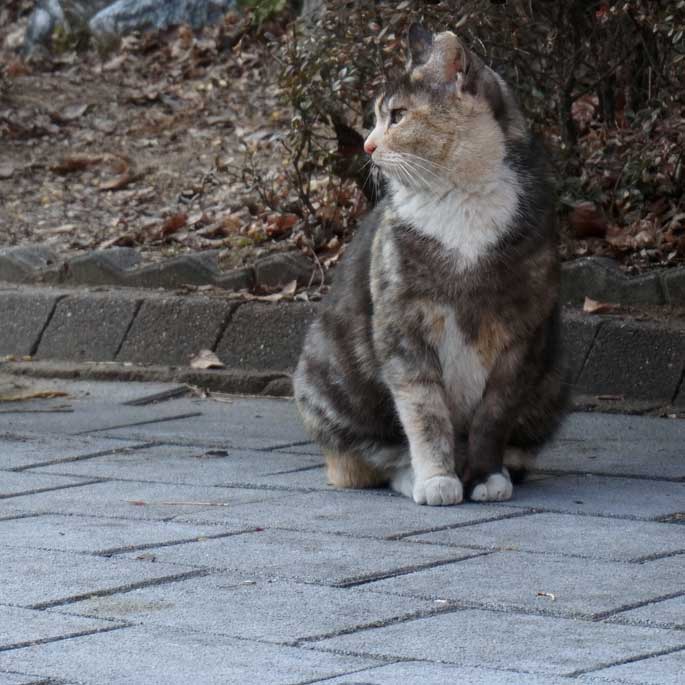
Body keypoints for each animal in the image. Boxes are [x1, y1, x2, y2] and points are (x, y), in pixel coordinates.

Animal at [294, 24, 568, 504]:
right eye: (377, 116)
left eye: (398, 115)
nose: (367, 143)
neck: (463, 201)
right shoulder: (404, 328)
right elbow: (424, 412)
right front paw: (439, 479)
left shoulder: (522, 337)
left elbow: (493, 417)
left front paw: (486, 476)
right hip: (327, 375)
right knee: (364, 458)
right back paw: (411, 475)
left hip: (554, 376)